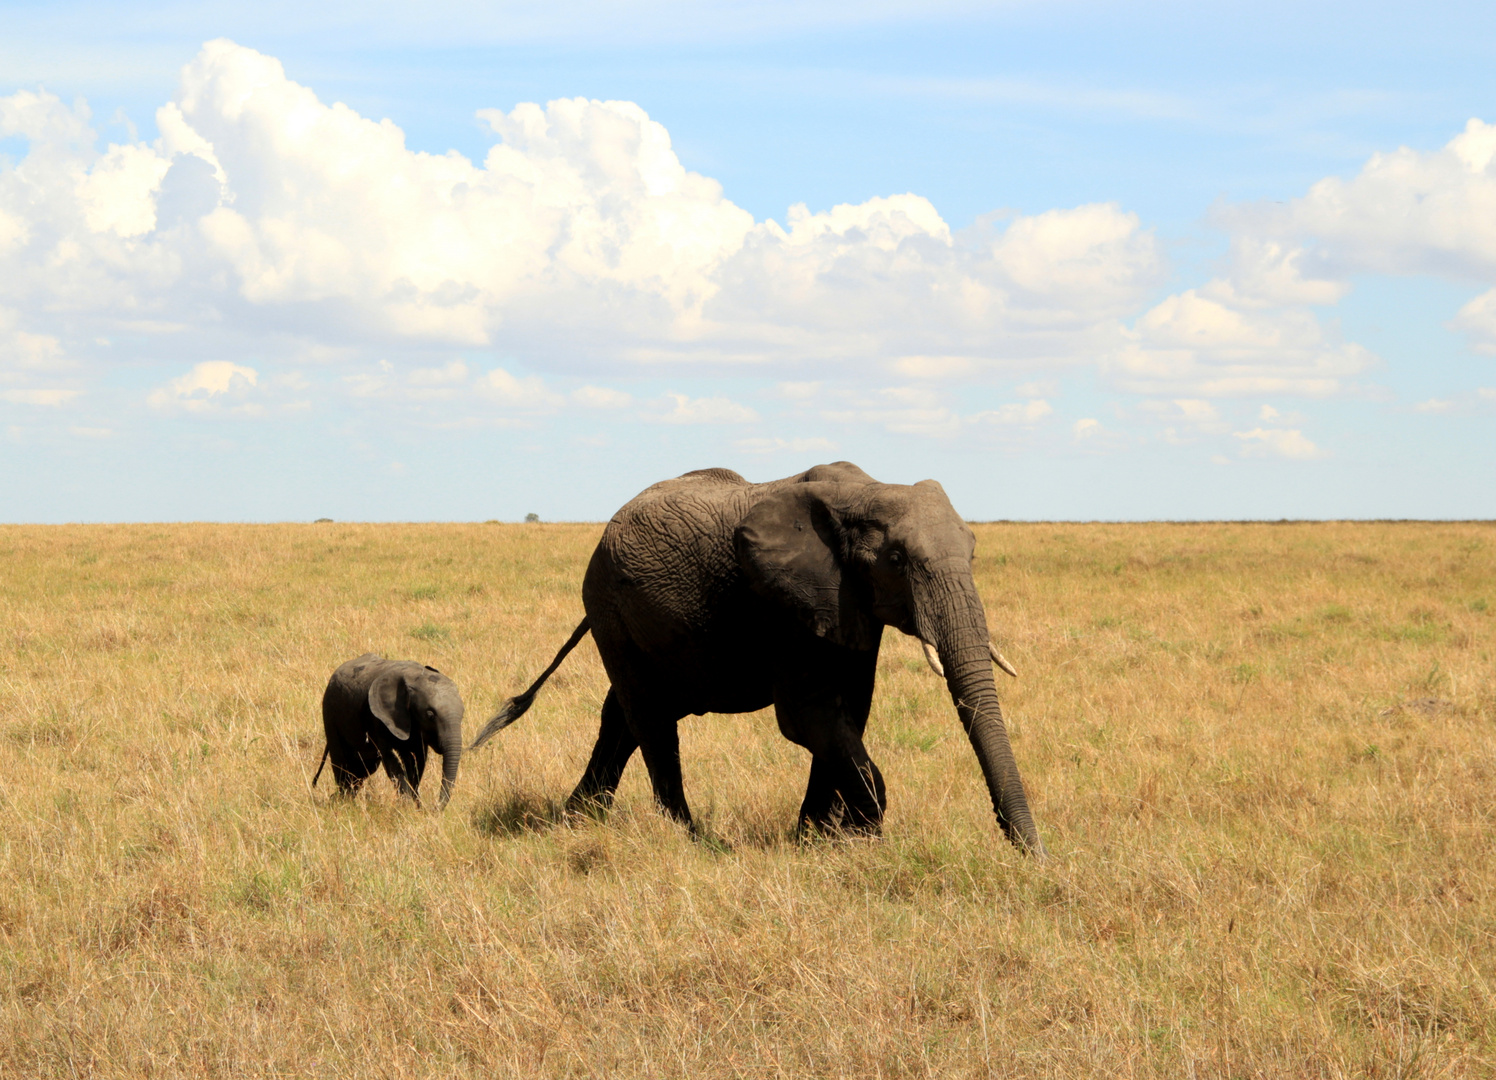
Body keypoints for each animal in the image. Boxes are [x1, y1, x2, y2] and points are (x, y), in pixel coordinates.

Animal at [309, 652, 460, 801]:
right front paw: (407, 803)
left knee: (362, 768)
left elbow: (418, 760)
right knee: (342, 764)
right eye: (430, 715)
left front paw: (414, 802)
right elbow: (391, 760)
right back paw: (342, 801)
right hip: (330, 713)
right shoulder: (378, 718)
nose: (435, 806)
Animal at [472, 463, 1047, 855]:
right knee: (652, 720)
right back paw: (689, 840)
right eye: (898, 559)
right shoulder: (783, 601)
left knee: (624, 718)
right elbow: (807, 717)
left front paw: (816, 840)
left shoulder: (848, 602)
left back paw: (575, 823)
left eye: (973, 554)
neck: (865, 491)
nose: (1032, 853)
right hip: (609, 606)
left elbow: (849, 712)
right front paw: (863, 840)